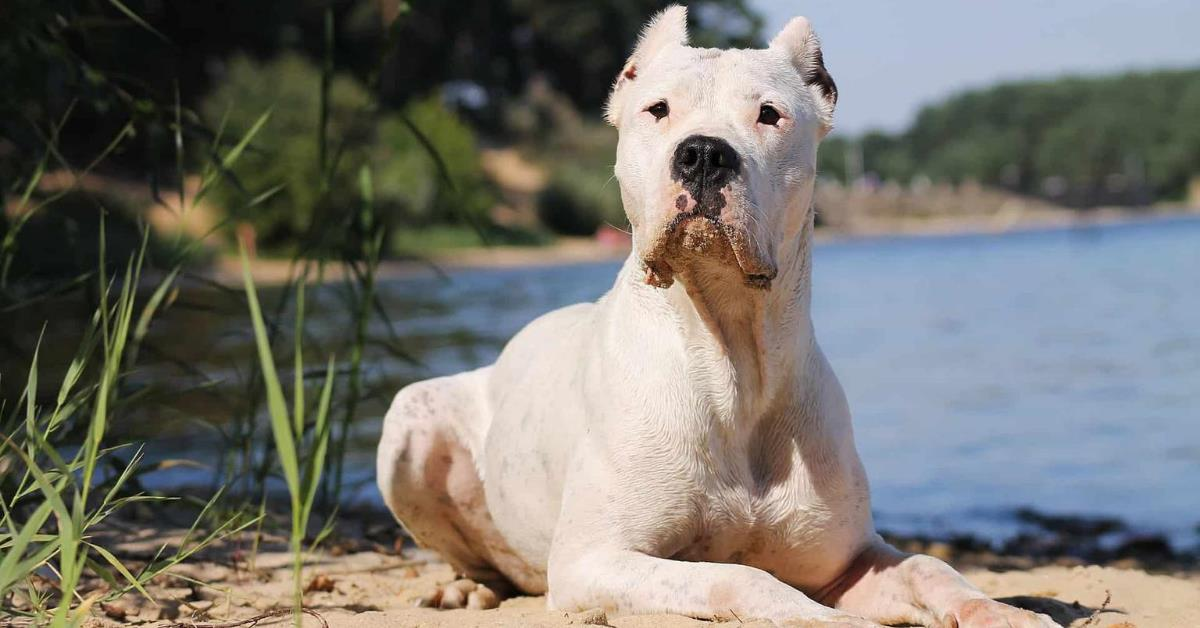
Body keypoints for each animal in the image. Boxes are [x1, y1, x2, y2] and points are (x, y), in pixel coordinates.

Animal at [379, 6, 1056, 628]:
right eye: (657, 109)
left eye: (770, 114)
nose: (704, 153)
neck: (733, 360)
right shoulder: (594, 560)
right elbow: (738, 576)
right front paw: (825, 620)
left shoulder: (848, 560)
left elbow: (929, 568)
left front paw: (1002, 611)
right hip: (409, 421)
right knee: (479, 556)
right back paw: (467, 588)